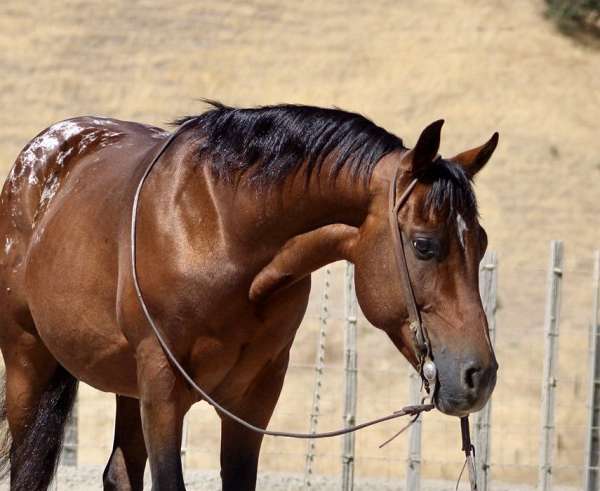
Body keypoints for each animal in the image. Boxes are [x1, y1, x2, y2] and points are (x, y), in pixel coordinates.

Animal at [0, 102, 496, 490]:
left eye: (482, 242)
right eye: (424, 245)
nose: (480, 375)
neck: (221, 231)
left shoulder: (254, 396)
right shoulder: (162, 386)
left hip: (126, 385)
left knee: (120, 474)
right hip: (28, 363)